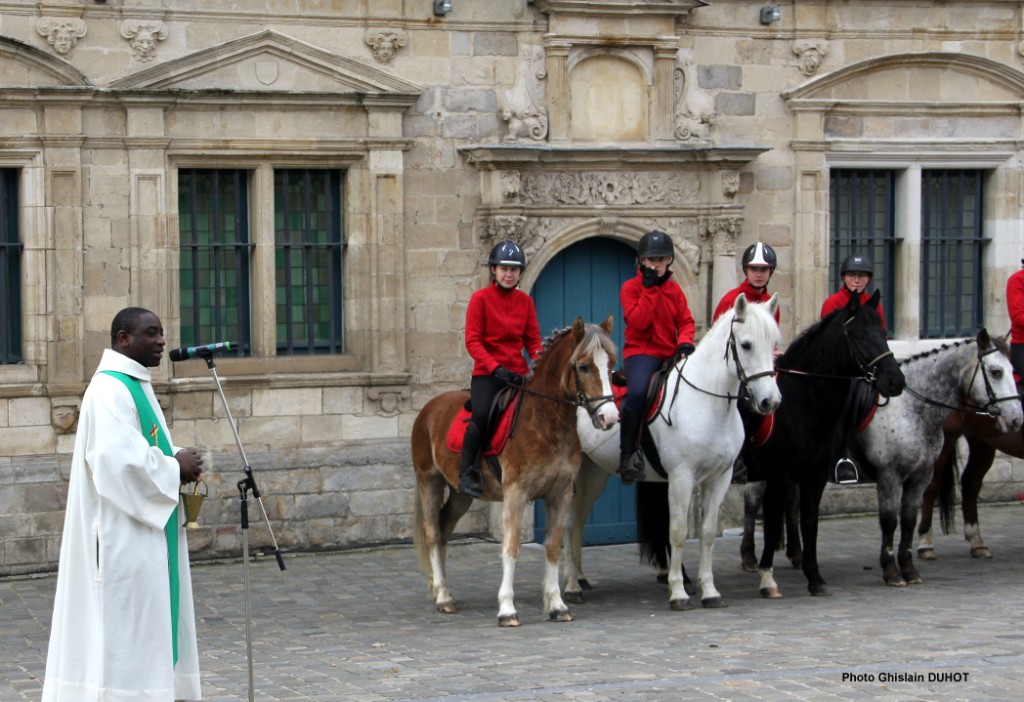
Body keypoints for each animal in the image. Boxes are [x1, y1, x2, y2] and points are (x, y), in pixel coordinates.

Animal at [409, 317, 614, 630]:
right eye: (583, 366)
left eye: (611, 364)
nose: (609, 417)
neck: (546, 422)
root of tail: (429, 408)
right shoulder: (516, 494)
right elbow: (512, 546)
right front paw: (507, 609)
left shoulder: (560, 495)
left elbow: (553, 547)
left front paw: (556, 605)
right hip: (429, 481)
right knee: (432, 532)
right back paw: (442, 597)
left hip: (460, 494)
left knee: (443, 530)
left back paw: (442, 590)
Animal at [565, 294, 778, 609]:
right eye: (747, 344)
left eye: (775, 342)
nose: (770, 401)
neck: (708, 402)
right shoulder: (681, 478)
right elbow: (676, 532)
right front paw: (678, 592)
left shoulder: (720, 478)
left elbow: (707, 533)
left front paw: (709, 591)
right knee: (567, 524)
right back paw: (570, 587)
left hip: (595, 474)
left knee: (578, 520)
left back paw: (579, 578)